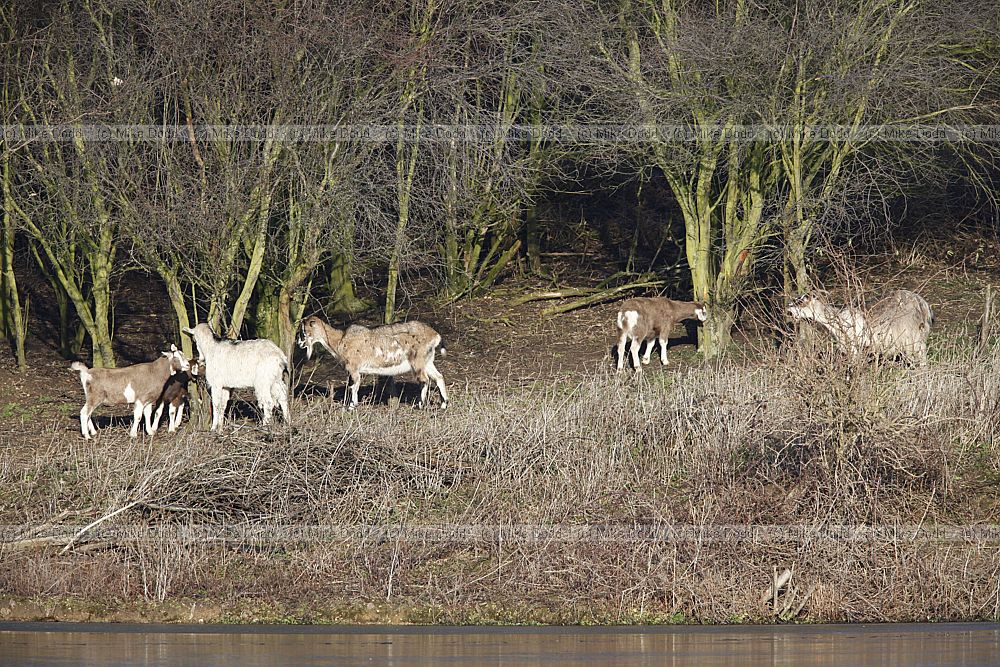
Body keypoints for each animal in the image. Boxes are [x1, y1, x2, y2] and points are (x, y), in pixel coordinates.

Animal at [298, 315, 448, 410]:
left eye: (304, 331)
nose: (299, 344)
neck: (340, 340)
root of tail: (435, 335)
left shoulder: (353, 368)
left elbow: (353, 387)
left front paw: (351, 407)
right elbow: (354, 386)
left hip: (417, 360)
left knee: (425, 380)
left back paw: (420, 405)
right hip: (427, 360)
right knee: (439, 377)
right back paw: (444, 405)